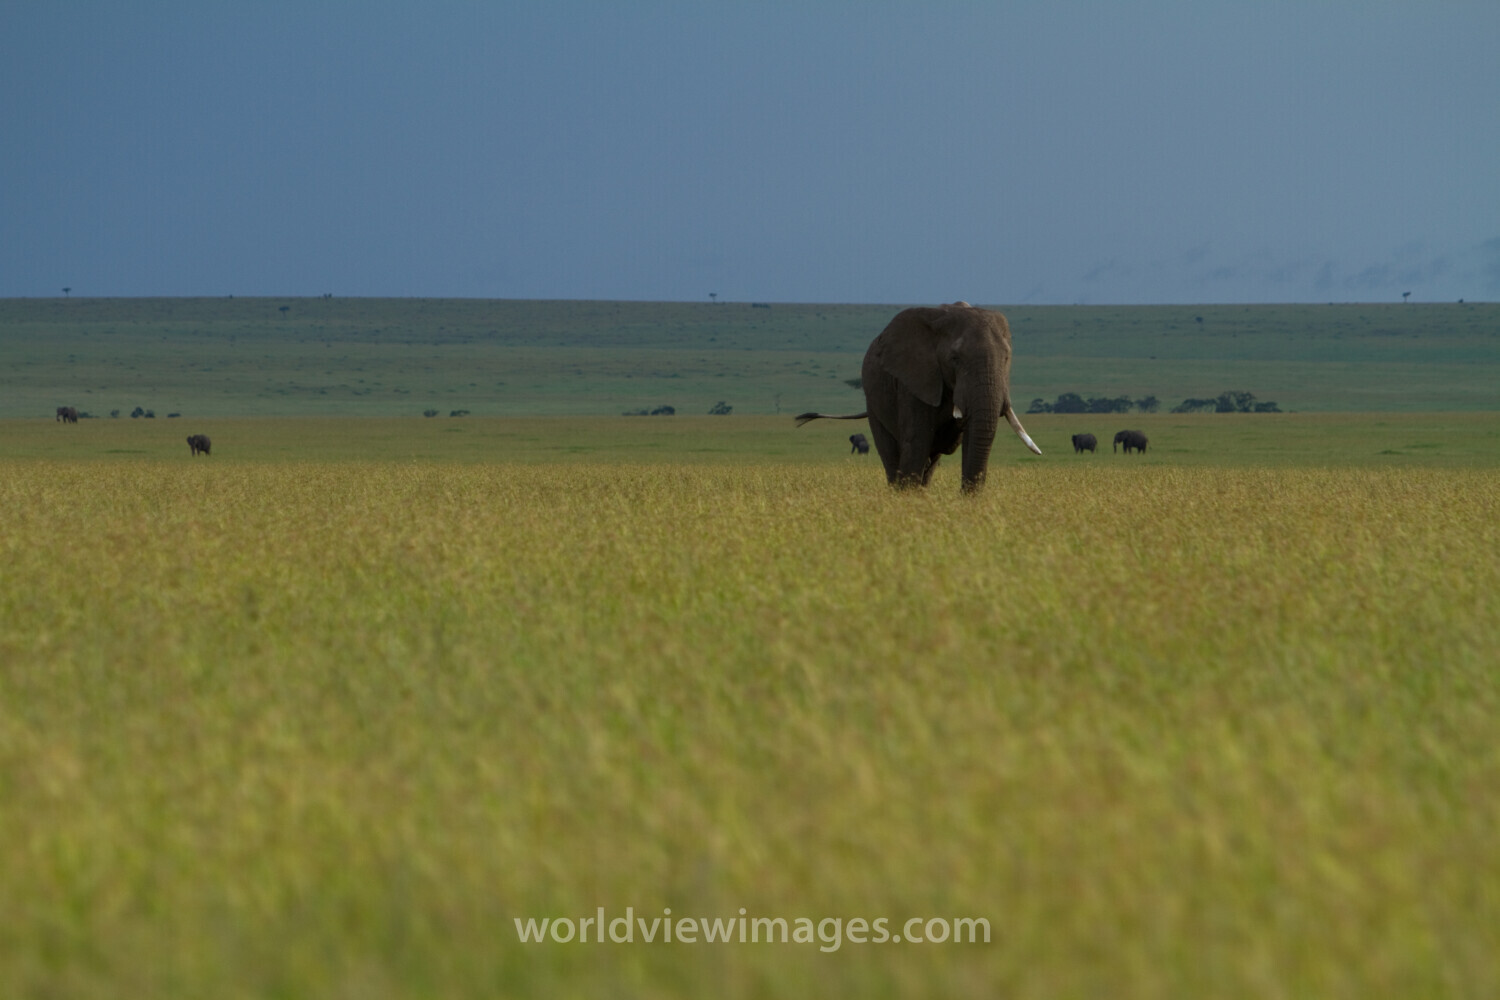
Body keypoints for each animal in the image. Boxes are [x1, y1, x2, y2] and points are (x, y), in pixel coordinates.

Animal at [795, 301, 1041, 491]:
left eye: (1006, 358)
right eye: (954, 359)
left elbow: (972, 436)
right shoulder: (913, 380)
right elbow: (916, 441)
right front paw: (908, 501)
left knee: (931, 462)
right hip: (874, 401)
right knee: (892, 453)